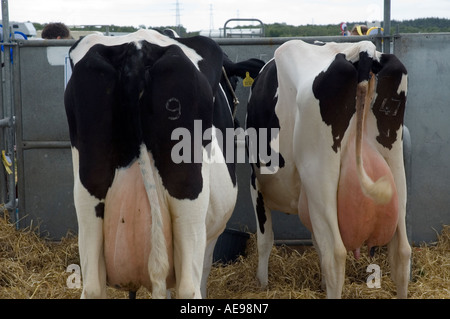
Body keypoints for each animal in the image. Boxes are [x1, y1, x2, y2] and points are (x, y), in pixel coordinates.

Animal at [64, 30, 264, 300]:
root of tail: (137, 49)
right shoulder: (209, 237)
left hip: (88, 201)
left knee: (93, 287)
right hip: (189, 203)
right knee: (189, 288)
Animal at [246, 40, 412, 300]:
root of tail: (363, 48)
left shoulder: (255, 183)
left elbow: (265, 239)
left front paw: (262, 284)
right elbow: (316, 242)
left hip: (319, 176)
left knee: (335, 255)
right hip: (394, 164)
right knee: (402, 252)